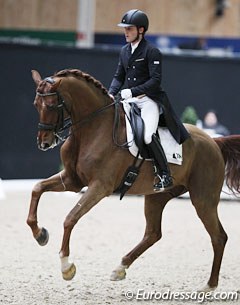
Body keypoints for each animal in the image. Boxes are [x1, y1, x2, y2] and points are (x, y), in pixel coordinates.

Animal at [27, 68, 240, 290]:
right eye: (36, 104)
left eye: (51, 105)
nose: (44, 143)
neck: (93, 128)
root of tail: (214, 141)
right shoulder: (72, 180)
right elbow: (37, 188)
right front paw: (40, 234)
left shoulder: (100, 187)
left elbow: (70, 218)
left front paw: (66, 267)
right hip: (157, 196)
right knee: (153, 233)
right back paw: (120, 268)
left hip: (203, 199)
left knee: (219, 237)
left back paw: (209, 286)